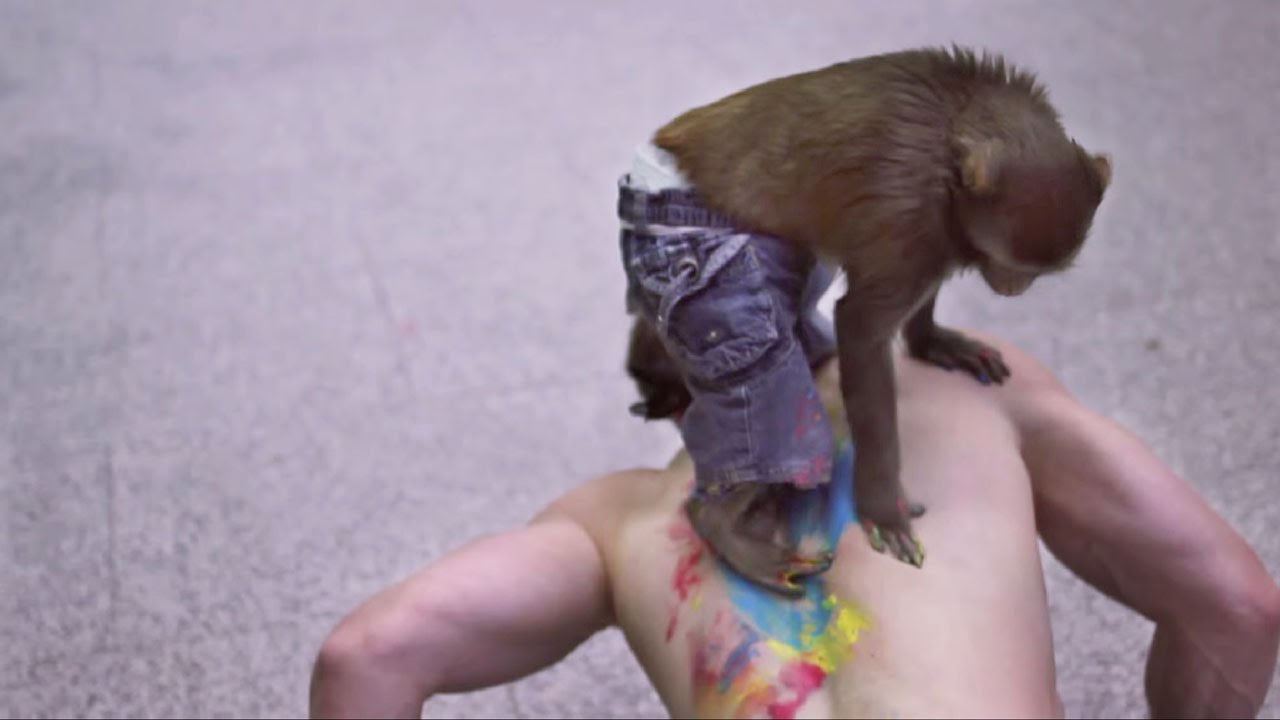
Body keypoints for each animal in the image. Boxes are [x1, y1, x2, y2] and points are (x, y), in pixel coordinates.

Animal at [617, 45, 1111, 595]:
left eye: (1034, 273)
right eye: (1013, 266)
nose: (1013, 287)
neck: (954, 141)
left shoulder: (938, 235)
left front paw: (933, 341)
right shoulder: (909, 216)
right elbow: (860, 330)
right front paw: (882, 506)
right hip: (693, 252)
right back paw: (720, 524)